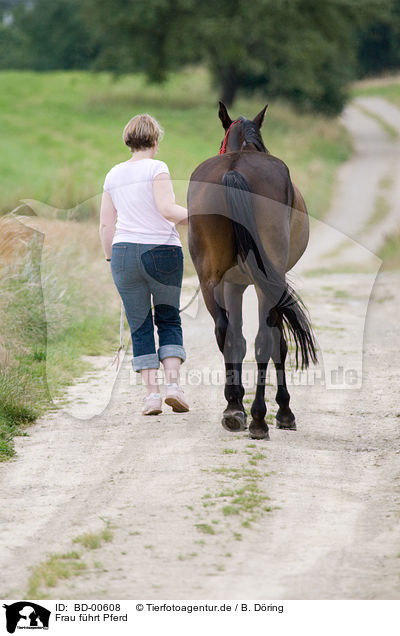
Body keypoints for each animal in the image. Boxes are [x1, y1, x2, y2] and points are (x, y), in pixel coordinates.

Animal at [189, 103, 318, 442]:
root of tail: (235, 169)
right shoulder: (263, 284)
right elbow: (278, 344)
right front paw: (284, 411)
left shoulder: (232, 285)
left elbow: (236, 338)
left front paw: (235, 403)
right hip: (264, 282)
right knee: (264, 340)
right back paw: (260, 418)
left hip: (209, 280)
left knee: (224, 331)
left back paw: (235, 409)